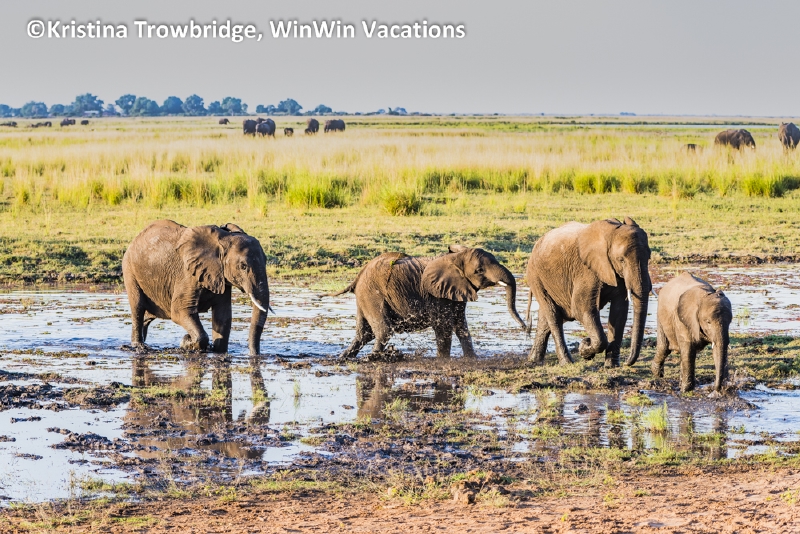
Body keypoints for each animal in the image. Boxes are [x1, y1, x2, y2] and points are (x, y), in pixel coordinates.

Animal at [122, 220, 271, 355]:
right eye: (243, 266)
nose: (254, 355)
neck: (223, 239)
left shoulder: (220, 276)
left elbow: (223, 316)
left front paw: (216, 351)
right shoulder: (188, 275)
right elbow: (180, 311)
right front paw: (186, 342)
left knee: (148, 314)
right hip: (129, 270)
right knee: (138, 307)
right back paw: (139, 347)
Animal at [328, 246, 525, 361]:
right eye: (479, 270)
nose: (525, 328)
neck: (457, 257)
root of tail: (359, 274)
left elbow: (461, 326)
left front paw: (472, 360)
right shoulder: (438, 295)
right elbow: (444, 328)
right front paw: (443, 362)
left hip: (365, 296)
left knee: (364, 333)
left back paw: (344, 358)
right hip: (373, 294)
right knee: (383, 330)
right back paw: (373, 358)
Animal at [525, 217, 652, 368]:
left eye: (649, 258)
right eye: (621, 260)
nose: (627, 363)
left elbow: (619, 312)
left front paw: (611, 366)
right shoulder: (586, 270)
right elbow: (581, 309)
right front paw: (585, 348)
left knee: (546, 319)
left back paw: (534, 360)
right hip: (535, 275)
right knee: (554, 316)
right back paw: (566, 362)